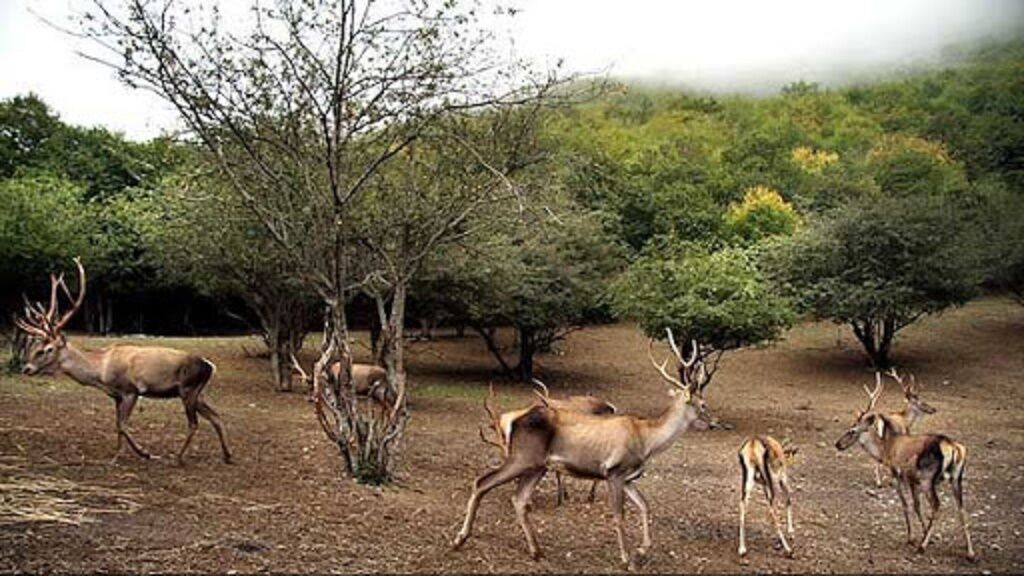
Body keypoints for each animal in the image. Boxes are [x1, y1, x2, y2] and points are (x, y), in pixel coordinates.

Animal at [16, 258, 232, 463]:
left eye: (47, 349)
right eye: (34, 347)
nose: (26, 368)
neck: (101, 372)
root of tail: (210, 366)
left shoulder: (131, 390)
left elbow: (123, 424)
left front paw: (144, 453)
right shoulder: (116, 396)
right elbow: (117, 425)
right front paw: (117, 455)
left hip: (188, 388)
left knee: (194, 423)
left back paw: (178, 458)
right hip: (198, 393)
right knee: (216, 416)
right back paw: (227, 455)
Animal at [831, 373, 974, 557]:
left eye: (852, 431)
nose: (838, 444)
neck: (885, 450)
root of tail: (953, 447)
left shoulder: (898, 472)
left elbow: (906, 504)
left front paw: (912, 537)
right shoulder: (913, 479)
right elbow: (916, 506)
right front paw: (923, 532)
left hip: (928, 477)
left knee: (937, 505)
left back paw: (922, 546)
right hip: (956, 477)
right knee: (961, 508)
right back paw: (970, 552)